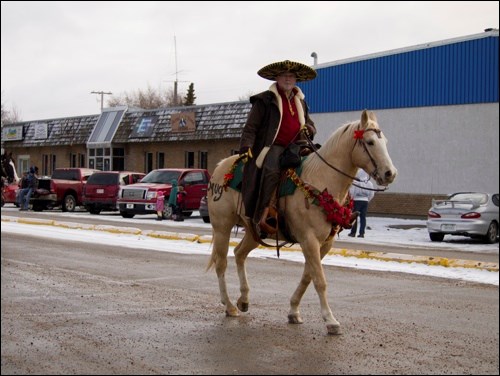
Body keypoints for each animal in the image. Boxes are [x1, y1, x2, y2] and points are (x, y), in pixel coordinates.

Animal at [205, 109, 396, 334]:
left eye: (385, 141)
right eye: (370, 142)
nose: (390, 173)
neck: (321, 180)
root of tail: (220, 168)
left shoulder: (324, 243)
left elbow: (308, 276)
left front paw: (293, 311)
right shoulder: (309, 240)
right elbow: (319, 280)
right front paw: (330, 320)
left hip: (254, 230)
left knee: (239, 254)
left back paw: (243, 299)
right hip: (222, 227)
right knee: (221, 263)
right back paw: (229, 305)